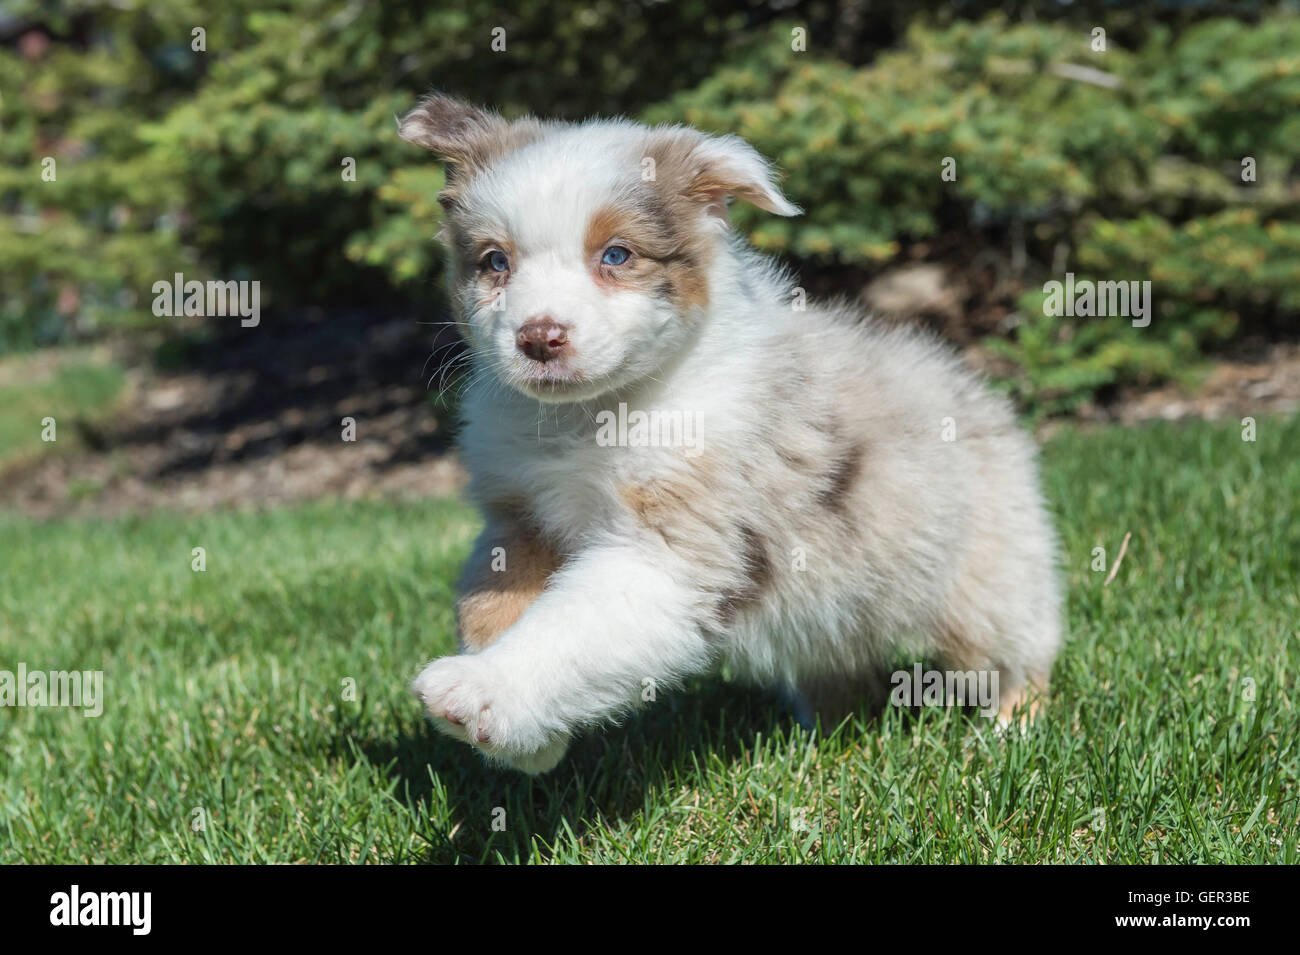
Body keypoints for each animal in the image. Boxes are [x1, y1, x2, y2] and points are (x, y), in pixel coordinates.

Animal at [400, 93, 1060, 774]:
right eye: (495, 262)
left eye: (616, 255)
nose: (538, 337)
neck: (592, 415)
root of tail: (967, 382)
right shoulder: (517, 518)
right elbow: (488, 605)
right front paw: (529, 742)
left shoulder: (673, 547)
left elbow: (572, 625)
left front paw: (478, 693)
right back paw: (826, 735)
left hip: (983, 565)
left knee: (1015, 648)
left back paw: (1013, 727)